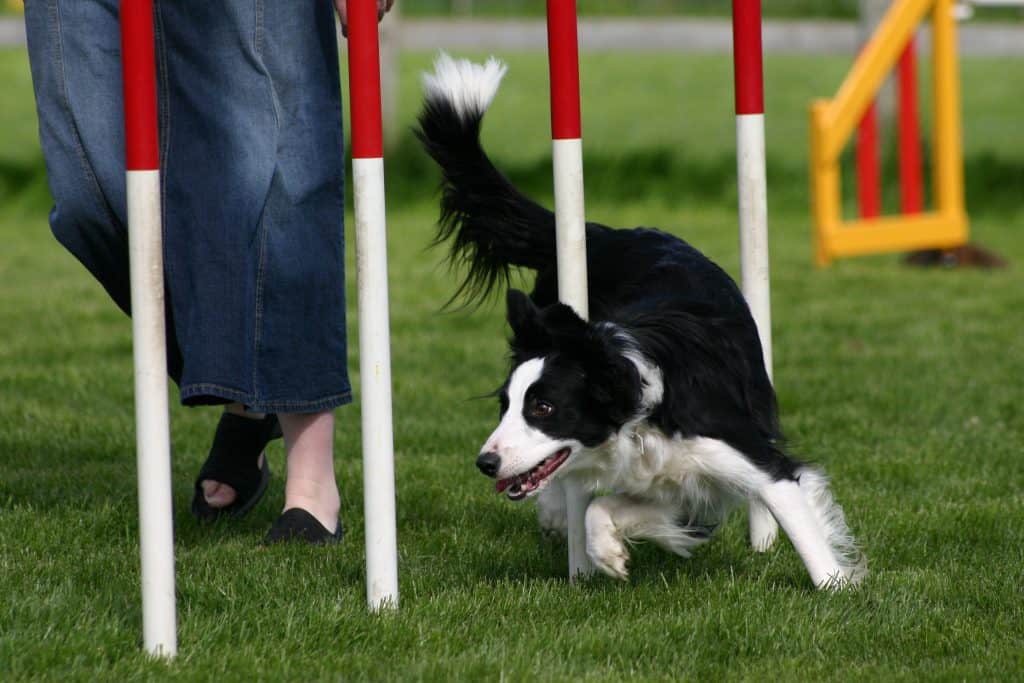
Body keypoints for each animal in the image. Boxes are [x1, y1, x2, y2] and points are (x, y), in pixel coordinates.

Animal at [415, 54, 864, 589]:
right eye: (505, 405)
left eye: (543, 407)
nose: (486, 463)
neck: (637, 408)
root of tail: (601, 230)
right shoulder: (667, 480)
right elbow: (600, 508)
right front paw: (607, 554)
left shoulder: (747, 457)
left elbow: (803, 529)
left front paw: (840, 591)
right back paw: (556, 517)